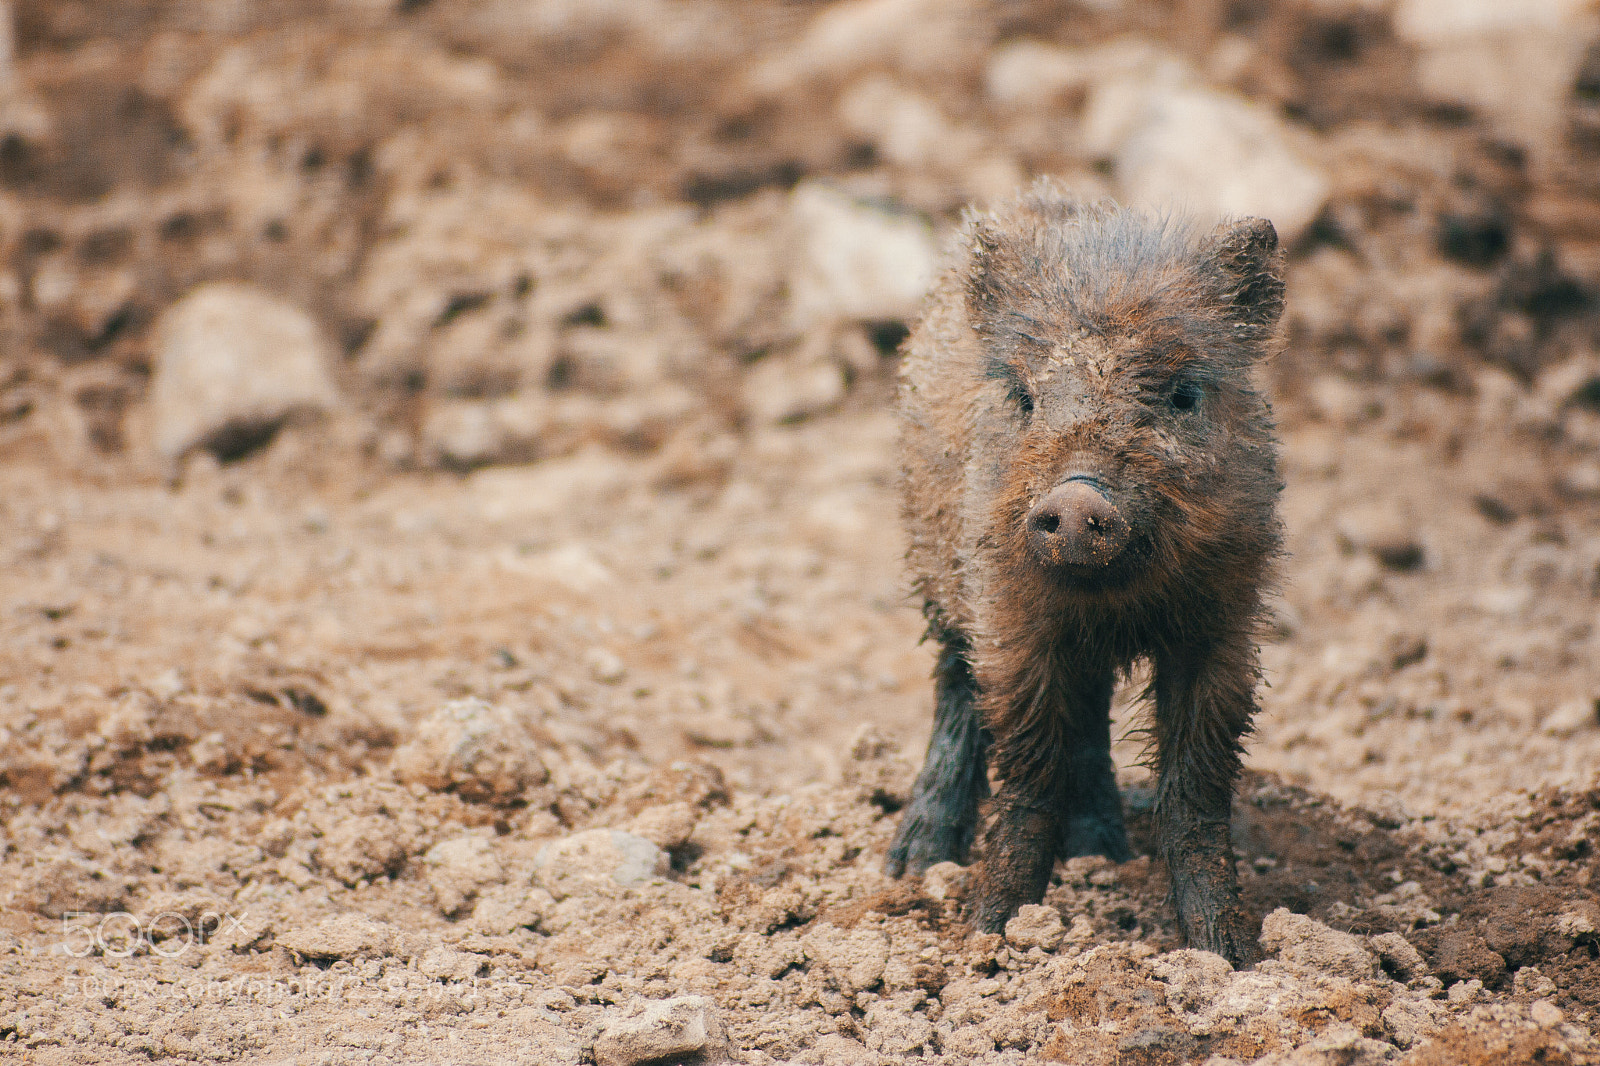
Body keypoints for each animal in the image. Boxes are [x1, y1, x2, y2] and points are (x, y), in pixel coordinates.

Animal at [885, 181, 1285, 967]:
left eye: (1182, 395)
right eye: (1025, 396)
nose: (1076, 499)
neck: (1112, 600)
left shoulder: (1225, 620)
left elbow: (1197, 787)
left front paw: (1225, 957)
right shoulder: (1009, 618)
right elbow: (1029, 774)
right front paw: (991, 937)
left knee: (1093, 710)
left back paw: (1101, 854)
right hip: (934, 571)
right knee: (955, 690)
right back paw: (914, 864)